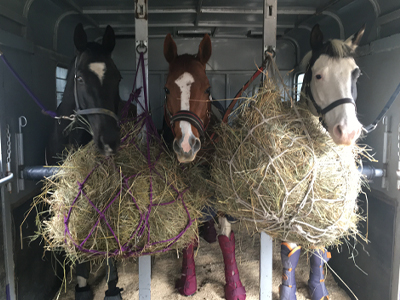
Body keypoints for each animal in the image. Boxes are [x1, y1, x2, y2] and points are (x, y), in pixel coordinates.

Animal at [163, 33, 247, 300]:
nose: (186, 145)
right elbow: (187, 236)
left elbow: (226, 238)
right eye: (166, 88)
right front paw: (188, 279)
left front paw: (234, 285)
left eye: (208, 89)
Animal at [280, 24, 364, 300]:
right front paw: (288, 290)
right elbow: (290, 252)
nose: (347, 132)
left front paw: (318, 287)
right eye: (317, 75)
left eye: (355, 74)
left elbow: (318, 252)